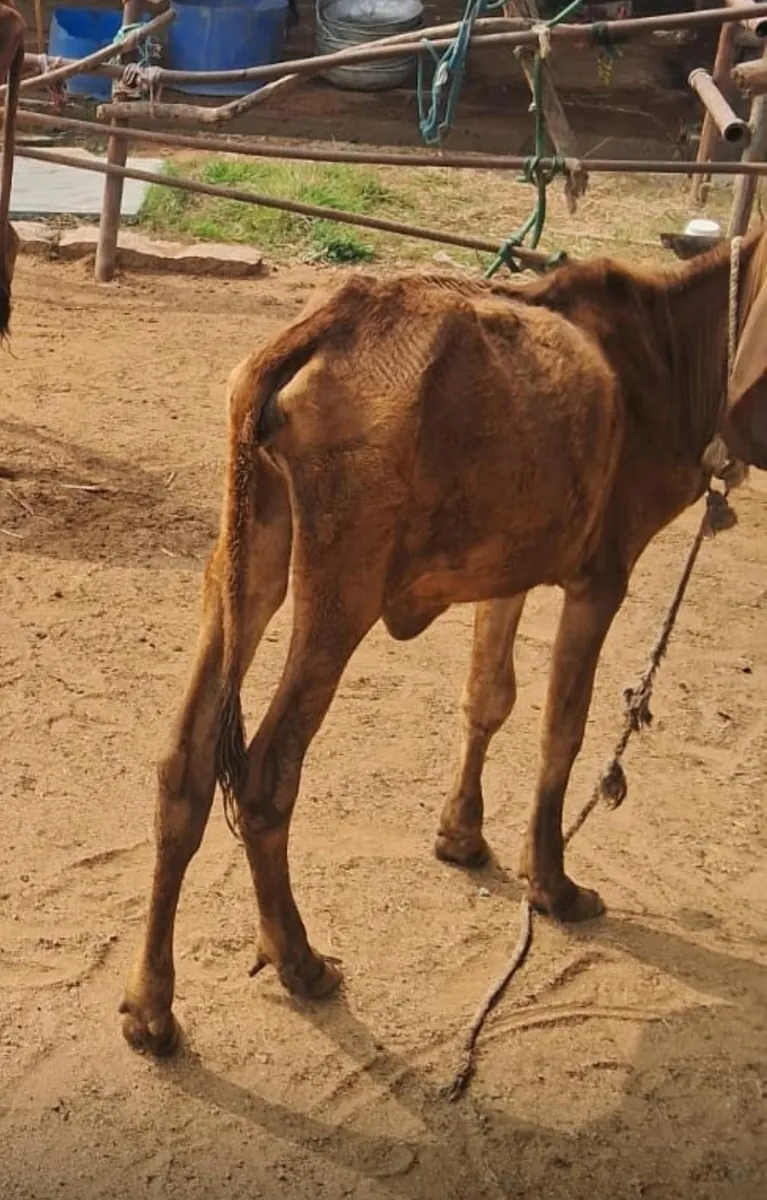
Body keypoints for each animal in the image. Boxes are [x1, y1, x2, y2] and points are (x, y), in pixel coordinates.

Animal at [120, 225, 767, 1056]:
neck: (669, 348)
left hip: (246, 550)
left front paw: (461, 834)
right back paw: (297, 959)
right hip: (342, 586)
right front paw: (551, 883)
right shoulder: (601, 575)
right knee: (266, 774)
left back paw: (151, 1005)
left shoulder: (510, 565)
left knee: (186, 763)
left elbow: (488, 698)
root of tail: (328, 323)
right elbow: (562, 730)